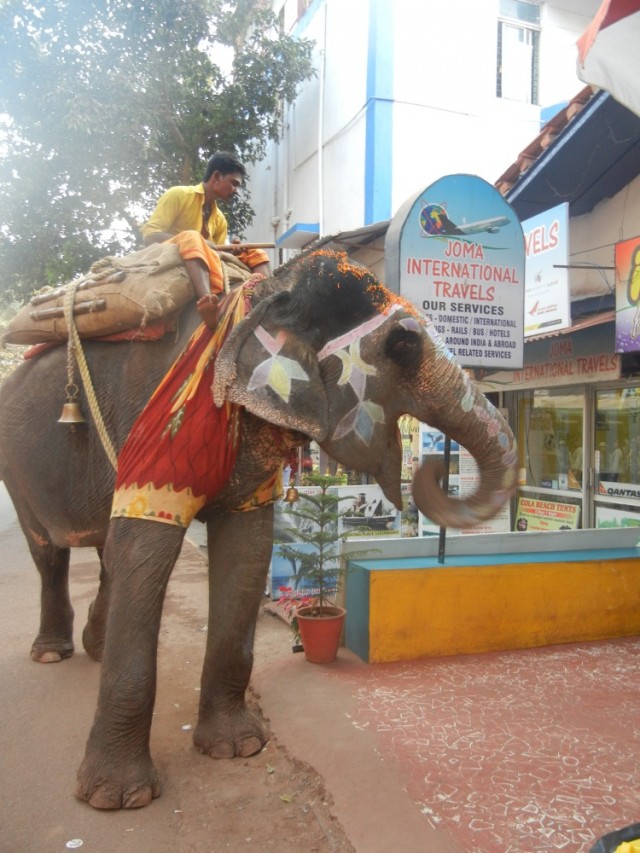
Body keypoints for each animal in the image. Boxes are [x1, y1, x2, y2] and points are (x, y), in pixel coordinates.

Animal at [0, 248, 517, 809]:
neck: (261, 295)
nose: (434, 468)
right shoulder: (165, 420)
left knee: (106, 553)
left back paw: (92, 647)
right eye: (403, 346)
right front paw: (118, 798)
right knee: (51, 552)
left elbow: (246, 551)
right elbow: (145, 545)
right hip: (17, 471)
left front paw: (238, 747)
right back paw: (51, 653)